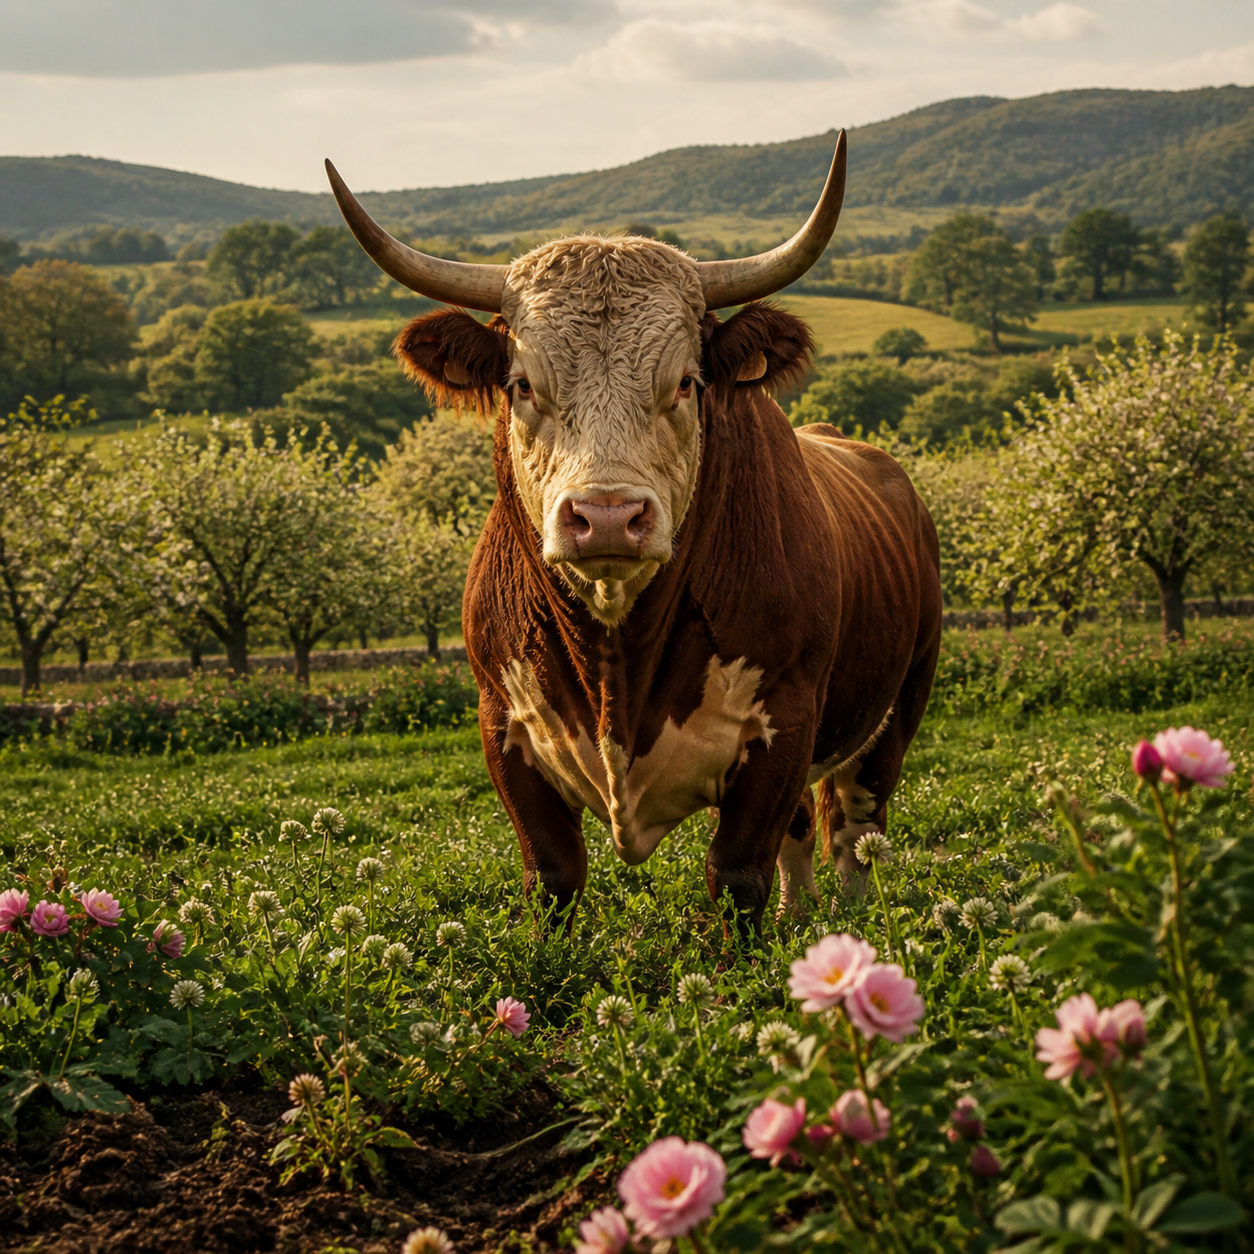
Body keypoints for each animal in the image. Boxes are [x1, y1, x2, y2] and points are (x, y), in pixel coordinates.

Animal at [326, 132, 942, 933]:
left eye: (685, 382)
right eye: (522, 384)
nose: (609, 516)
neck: (617, 657)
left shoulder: (784, 721)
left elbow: (736, 873)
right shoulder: (503, 725)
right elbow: (553, 874)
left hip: (899, 706)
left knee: (855, 828)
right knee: (807, 831)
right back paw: (800, 916)